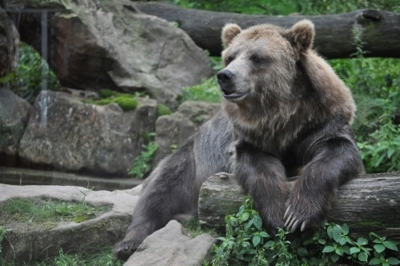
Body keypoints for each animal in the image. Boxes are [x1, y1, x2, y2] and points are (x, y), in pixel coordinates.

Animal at [113, 19, 366, 260]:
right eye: (230, 56)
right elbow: (256, 166)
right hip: (191, 160)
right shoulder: (251, 137)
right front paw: (278, 214)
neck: (281, 115)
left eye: (257, 57)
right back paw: (128, 243)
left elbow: (337, 151)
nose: (225, 75)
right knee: (160, 190)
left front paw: (299, 213)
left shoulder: (321, 121)